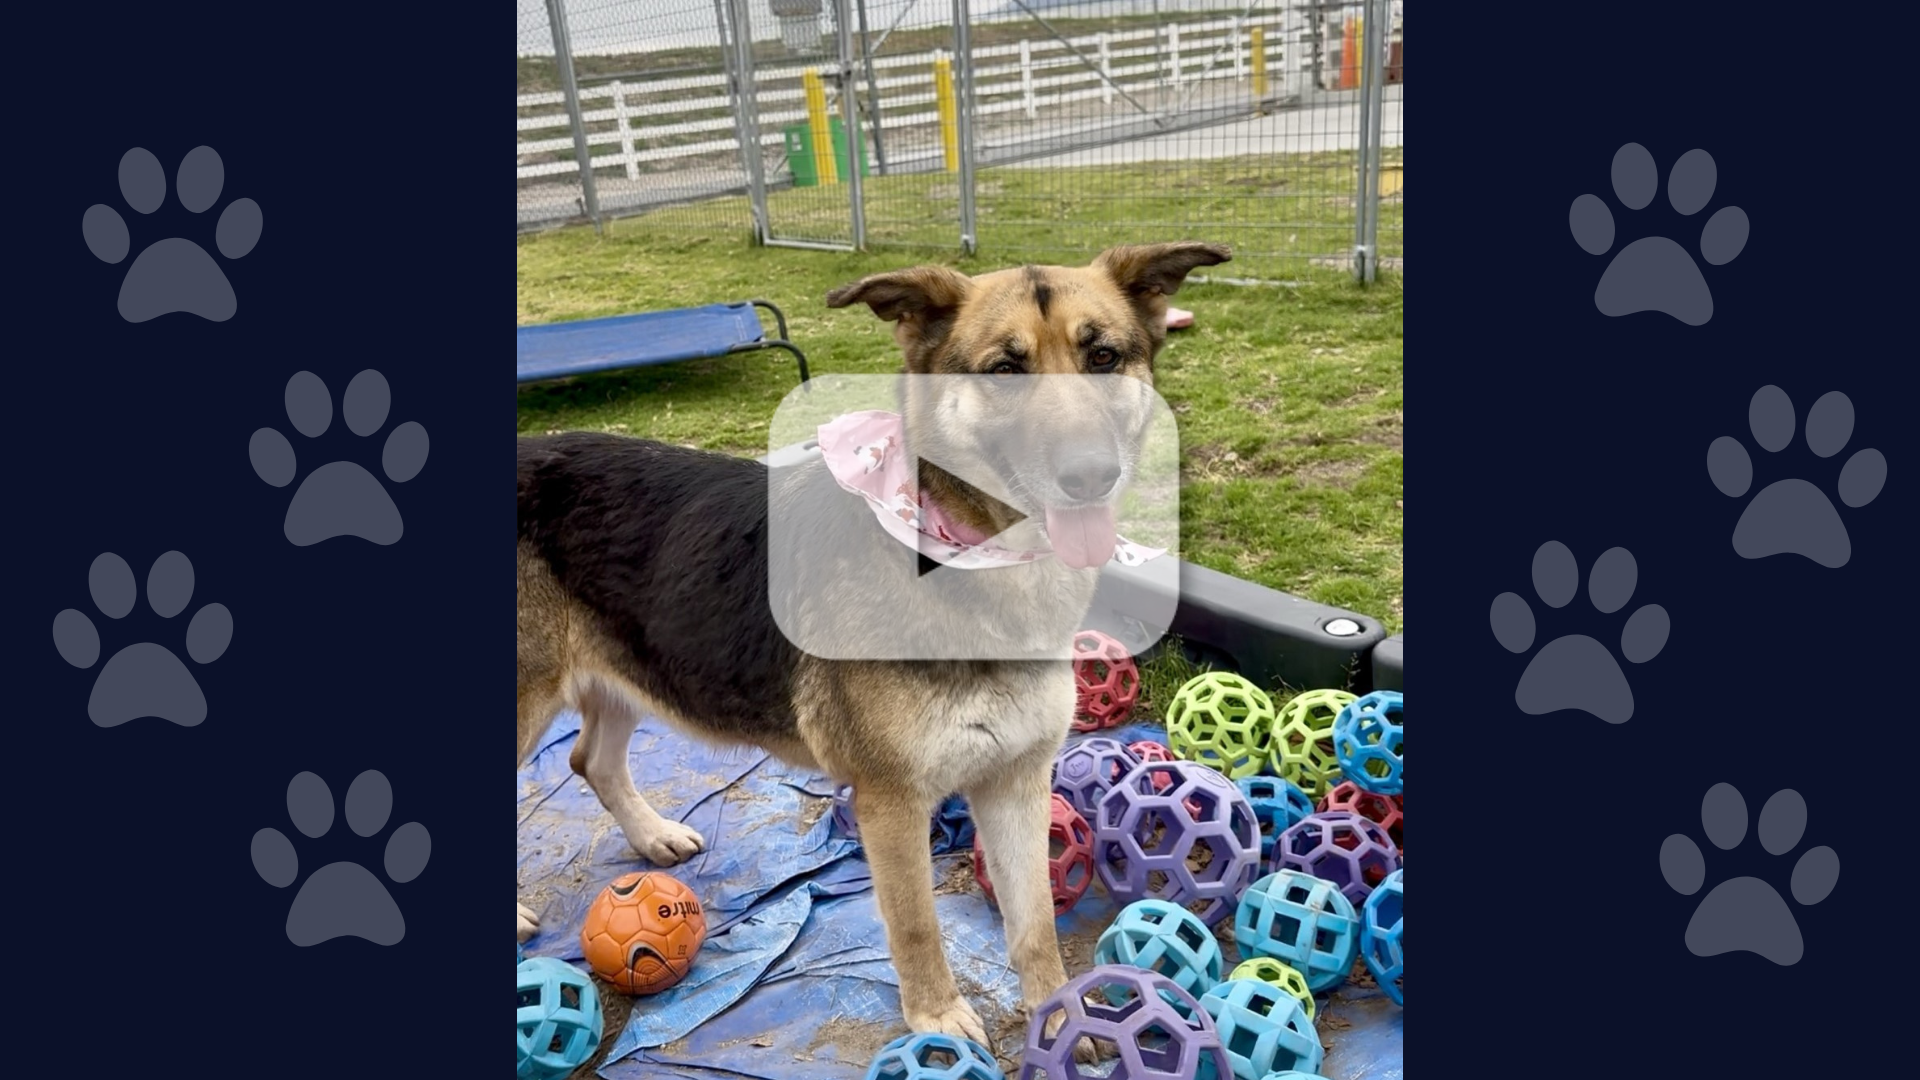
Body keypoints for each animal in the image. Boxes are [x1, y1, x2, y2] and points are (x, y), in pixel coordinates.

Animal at [514, 239, 1228, 1037]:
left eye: (1103, 356)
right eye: (1004, 370)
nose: (1090, 476)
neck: (971, 560)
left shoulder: (1016, 782)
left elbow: (1035, 923)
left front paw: (1060, 1016)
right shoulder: (891, 803)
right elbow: (916, 923)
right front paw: (938, 1020)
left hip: (628, 672)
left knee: (589, 760)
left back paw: (653, 836)